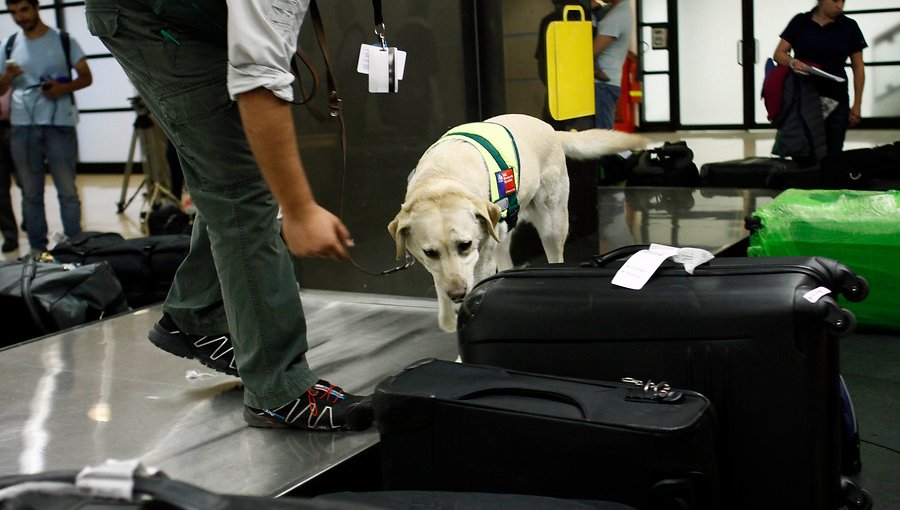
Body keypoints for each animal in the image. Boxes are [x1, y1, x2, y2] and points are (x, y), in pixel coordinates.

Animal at [386, 113, 648, 332]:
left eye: (465, 245)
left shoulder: (480, 261)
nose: (458, 294)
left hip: (552, 226)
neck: (441, 181)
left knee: (555, 255)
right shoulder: (439, 268)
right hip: (502, 236)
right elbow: (441, 290)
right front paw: (448, 318)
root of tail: (550, 128)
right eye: (430, 252)